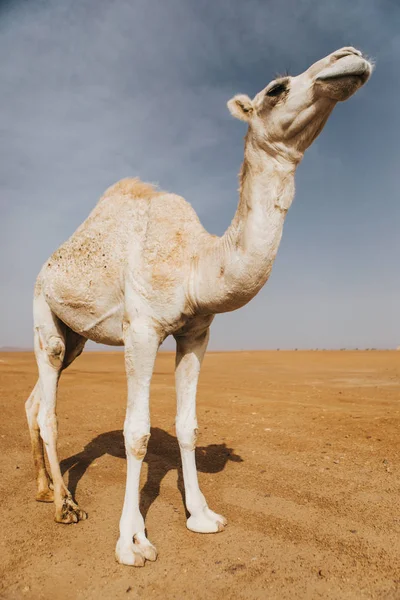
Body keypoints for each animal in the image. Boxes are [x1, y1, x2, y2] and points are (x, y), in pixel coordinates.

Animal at [26, 48, 374, 568]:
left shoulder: (196, 332)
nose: (349, 57)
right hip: (42, 310)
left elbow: (186, 426)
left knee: (35, 399)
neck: (195, 264)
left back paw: (46, 489)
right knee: (48, 404)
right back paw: (66, 506)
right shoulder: (142, 329)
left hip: (76, 337)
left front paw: (202, 516)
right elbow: (137, 434)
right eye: (276, 88)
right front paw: (132, 542)